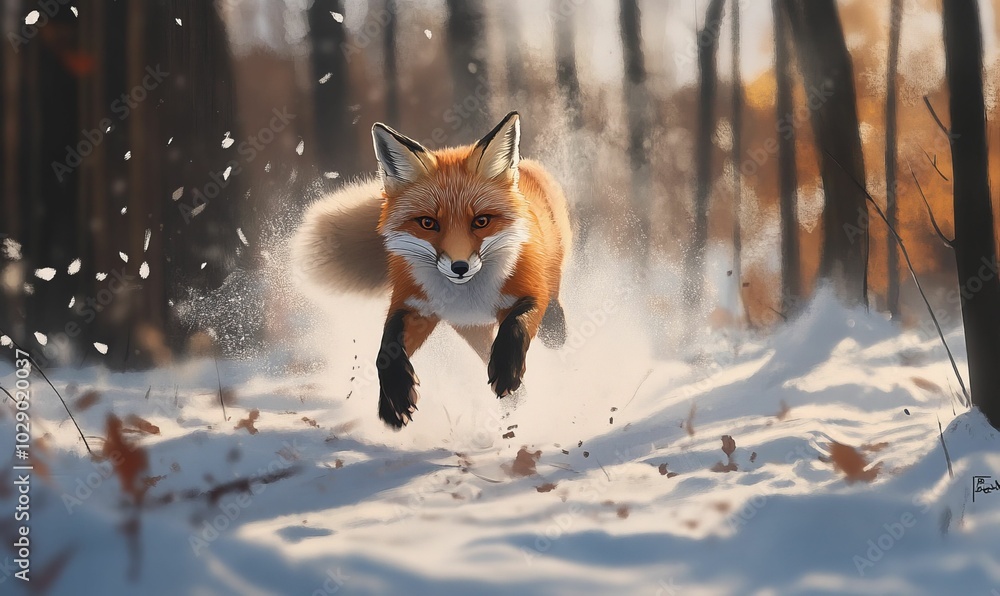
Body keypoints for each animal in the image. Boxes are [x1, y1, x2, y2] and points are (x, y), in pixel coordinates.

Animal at [293, 111, 571, 428]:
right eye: (428, 223)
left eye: (481, 221)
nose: (460, 267)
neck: (469, 293)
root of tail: (525, 165)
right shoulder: (414, 306)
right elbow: (385, 352)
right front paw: (395, 399)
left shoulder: (530, 292)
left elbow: (517, 325)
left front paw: (506, 371)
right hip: (471, 328)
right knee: (488, 352)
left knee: (551, 320)